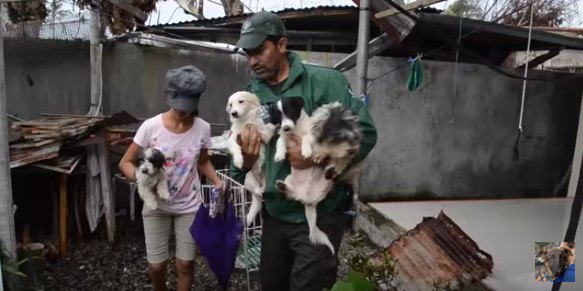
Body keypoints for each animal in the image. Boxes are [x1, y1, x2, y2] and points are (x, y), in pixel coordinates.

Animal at [226, 91, 276, 226]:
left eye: (241, 101)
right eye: (231, 105)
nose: (233, 113)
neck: (245, 122)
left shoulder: (260, 132)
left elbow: (265, 131)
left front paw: (273, 126)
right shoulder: (232, 139)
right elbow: (236, 147)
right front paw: (239, 160)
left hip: (266, 175)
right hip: (248, 180)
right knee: (258, 194)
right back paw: (260, 190)